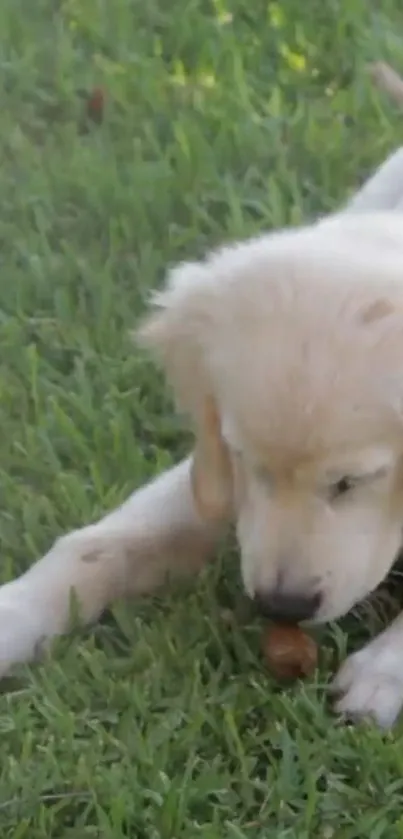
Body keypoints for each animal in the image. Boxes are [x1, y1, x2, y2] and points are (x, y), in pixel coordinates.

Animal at [3, 146, 403, 728]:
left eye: (354, 480)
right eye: (246, 459)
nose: (281, 607)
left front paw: (383, 673)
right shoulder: (215, 472)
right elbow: (97, 543)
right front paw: (10, 614)